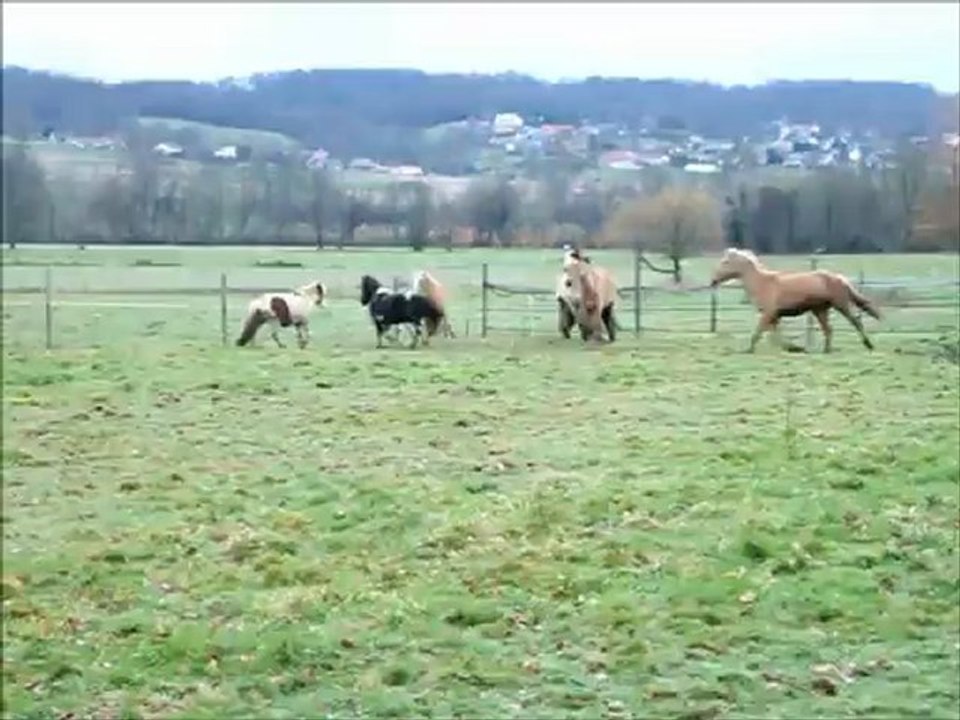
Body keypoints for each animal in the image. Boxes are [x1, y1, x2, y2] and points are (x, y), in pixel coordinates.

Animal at [709, 248, 881, 353]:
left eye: (725, 262)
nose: (713, 280)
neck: (763, 283)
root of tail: (841, 278)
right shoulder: (774, 316)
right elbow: (775, 336)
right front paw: (793, 348)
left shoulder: (768, 313)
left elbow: (758, 332)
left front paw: (749, 350)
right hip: (820, 310)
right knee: (828, 329)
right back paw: (826, 350)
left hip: (841, 305)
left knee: (856, 322)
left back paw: (869, 345)